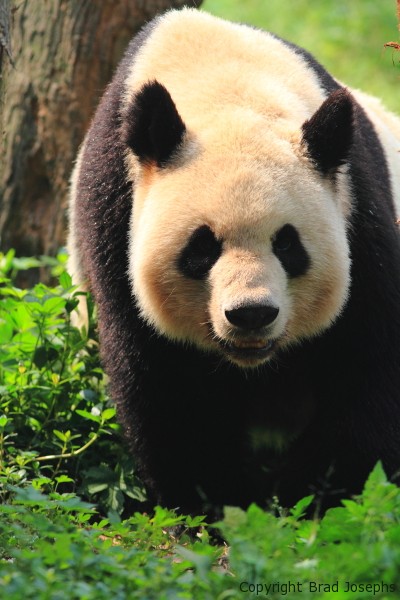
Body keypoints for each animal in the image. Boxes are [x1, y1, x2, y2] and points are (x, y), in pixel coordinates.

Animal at [68, 8, 400, 516]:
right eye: (202, 248)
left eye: (287, 244)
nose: (251, 314)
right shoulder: (114, 215)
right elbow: (169, 385)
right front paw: (216, 506)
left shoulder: (359, 212)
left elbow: (368, 366)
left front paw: (309, 501)